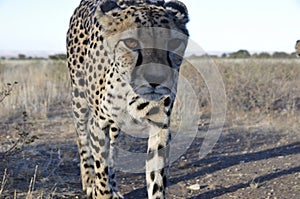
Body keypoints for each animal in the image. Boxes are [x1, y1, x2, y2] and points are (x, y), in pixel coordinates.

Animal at [66, 0, 189, 198]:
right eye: (131, 42)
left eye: (173, 43)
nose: (156, 79)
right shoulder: (99, 124)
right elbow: (101, 173)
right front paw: (100, 189)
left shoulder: (160, 125)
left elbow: (156, 178)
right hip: (79, 100)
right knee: (82, 138)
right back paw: (89, 180)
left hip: (116, 125)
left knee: (112, 151)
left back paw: (115, 188)